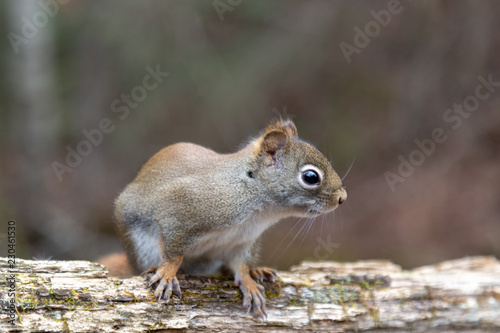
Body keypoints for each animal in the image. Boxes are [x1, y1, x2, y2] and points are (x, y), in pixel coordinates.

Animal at [112, 118, 348, 320]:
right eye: (311, 177)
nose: (342, 198)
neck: (259, 210)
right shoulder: (181, 210)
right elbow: (174, 253)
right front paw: (168, 274)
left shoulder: (244, 241)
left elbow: (240, 265)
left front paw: (249, 282)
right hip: (141, 246)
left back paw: (258, 271)